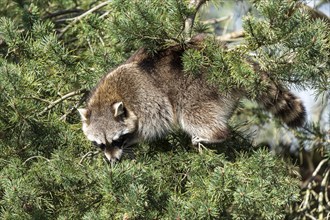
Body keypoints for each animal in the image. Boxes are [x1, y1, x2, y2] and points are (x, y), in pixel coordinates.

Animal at [78, 37, 306, 162]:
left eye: (116, 140)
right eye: (100, 144)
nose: (113, 161)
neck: (109, 97)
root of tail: (223, 55)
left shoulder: (147, 99)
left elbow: (154, 125)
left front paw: (134, 140)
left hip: (201, 86)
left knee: (192, 115)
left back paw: (215, 134)